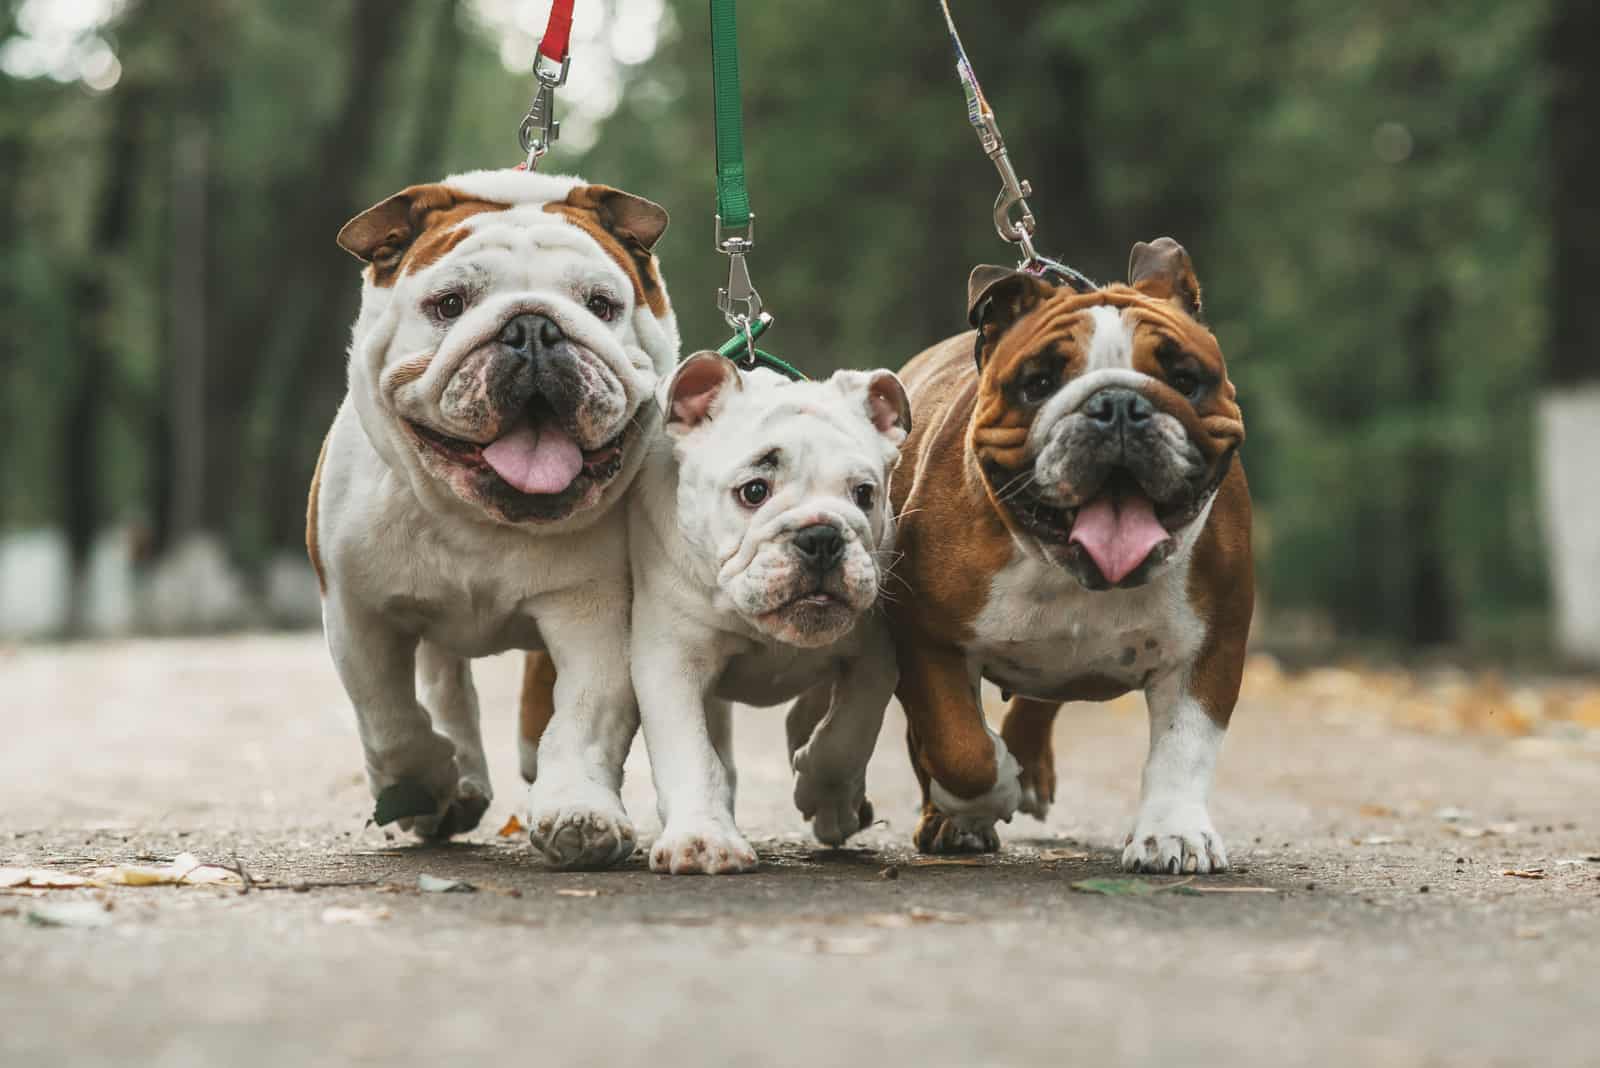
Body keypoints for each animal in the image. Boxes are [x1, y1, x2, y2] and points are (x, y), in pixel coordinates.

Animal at [308, 168, 678, 869]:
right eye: (450, 304)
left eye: (601, 305)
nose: (533, 328)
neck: (479, 520)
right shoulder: (357, 612)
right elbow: (388, 715)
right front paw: (423, 782)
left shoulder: (594, 612)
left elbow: (586, 713)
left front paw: (579, 811)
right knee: (443, 681)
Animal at [633, 354, 915, 869]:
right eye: (753, 491)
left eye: (865, 494)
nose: (821, 536)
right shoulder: (670, 661)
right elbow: (690, 751)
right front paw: (703, 837)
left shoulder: (875, 654)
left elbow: (849, 732)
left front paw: (825, 794)